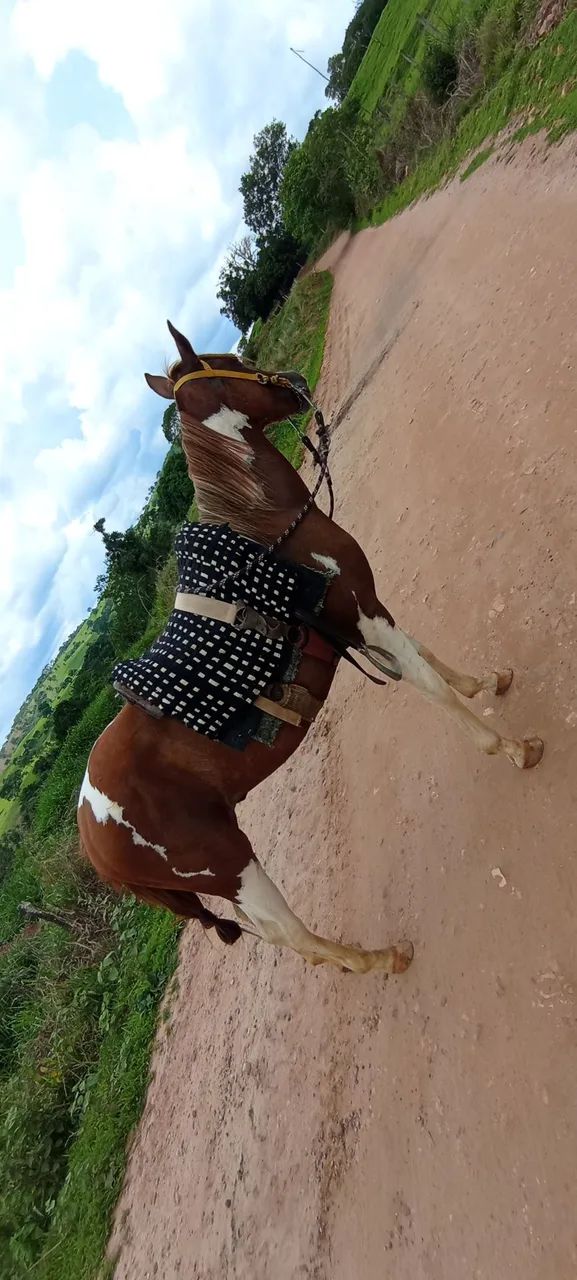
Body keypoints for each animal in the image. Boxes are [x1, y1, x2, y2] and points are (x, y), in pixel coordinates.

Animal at [77, 321, 543, 976]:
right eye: (226, 359)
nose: (295, 381)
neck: (272, 530)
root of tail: (90, 832)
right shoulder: (363, 617)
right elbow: (430, 685)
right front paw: (510, 747)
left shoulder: (369, 610)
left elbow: (426, 659)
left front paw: (487, 684)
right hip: (231, 861)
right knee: (292, 937)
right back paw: (381, 959)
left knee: (278, 936)